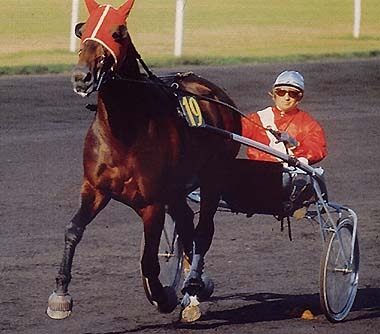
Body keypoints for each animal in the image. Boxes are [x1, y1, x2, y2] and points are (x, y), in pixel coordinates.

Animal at [46, 0, 240, 322]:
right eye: (82, 30)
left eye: (117, 32)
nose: (81, 76)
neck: (123, 131)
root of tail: (216, 93)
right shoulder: (95, 189)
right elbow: (72, 230)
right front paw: (60, 294)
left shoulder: (152, 203)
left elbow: (149, 260)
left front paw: (163, 296)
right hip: (176, 190)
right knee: (186, 223)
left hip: (214, 177)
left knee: (202, 231)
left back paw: (194, 285)